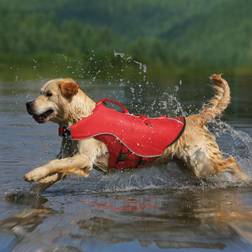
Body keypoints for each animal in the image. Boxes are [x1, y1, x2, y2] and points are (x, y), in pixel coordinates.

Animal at [23, 74, 248, 192]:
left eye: (48, 94)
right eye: (40, 93)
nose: (28, 104)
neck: (80, 117)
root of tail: (194, 119)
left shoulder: (85, 157)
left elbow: (55, 164)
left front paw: (33, 174)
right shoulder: (72, 156)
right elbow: (57, 169)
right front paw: (40, 182)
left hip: (202, 163)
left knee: (231, 162)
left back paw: (245, 179)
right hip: (189, 166)